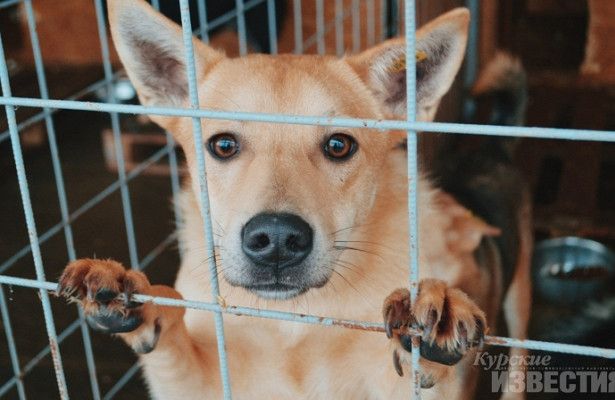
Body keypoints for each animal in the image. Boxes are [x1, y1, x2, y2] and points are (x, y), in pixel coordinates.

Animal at [57, 1, 532, 398]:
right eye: (223, 145)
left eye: (339, 146)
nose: (278, 241)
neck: (298, 321)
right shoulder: (204, 383)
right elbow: (169, 336)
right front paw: (135, 293)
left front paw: (435, 320)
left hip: (520, 292)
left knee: (520, 356)